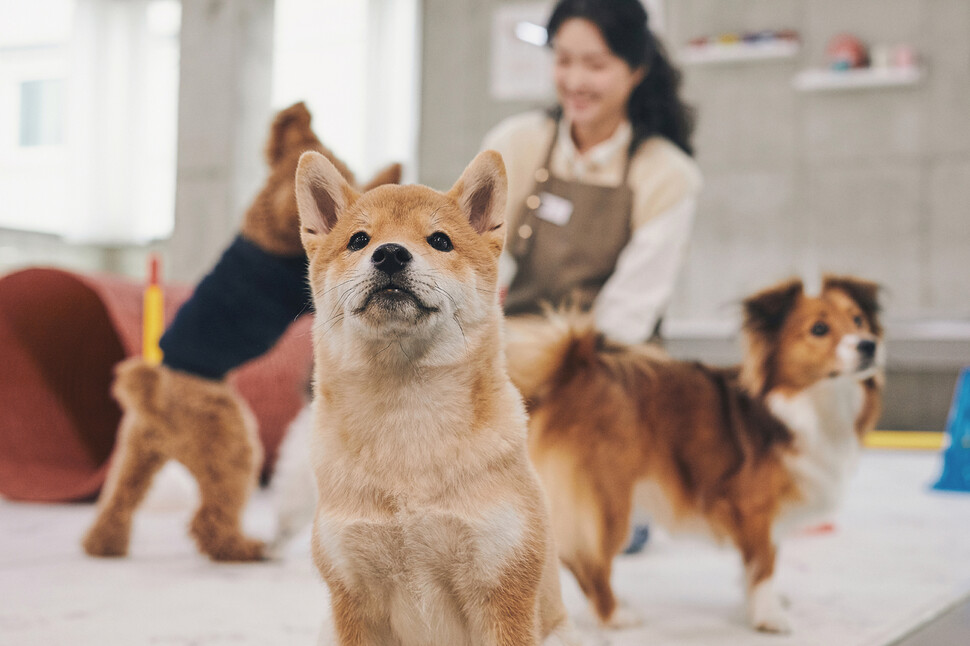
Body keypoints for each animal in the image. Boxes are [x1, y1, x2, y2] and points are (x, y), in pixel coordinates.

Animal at [294, 149, 576, 644]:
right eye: (359, 239)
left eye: (440, 240)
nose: (389, 253)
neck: (405, 423)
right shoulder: (352, 599)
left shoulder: (502, 589)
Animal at [506, 276, 884, 636]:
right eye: (819, 329)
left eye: (858, 320)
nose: (869, 344)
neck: (810, 404)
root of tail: (572, 369)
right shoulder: (755, 508)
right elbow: (764, 565)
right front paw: (768, 616)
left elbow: (755, 566)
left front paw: (757, 602)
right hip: (607, 501)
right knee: (587, 561)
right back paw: (614, 615)